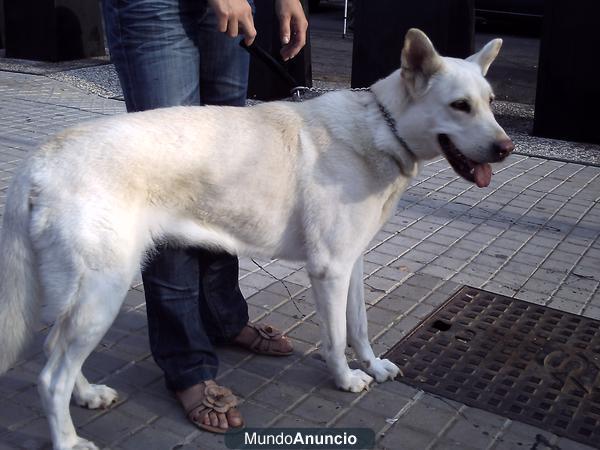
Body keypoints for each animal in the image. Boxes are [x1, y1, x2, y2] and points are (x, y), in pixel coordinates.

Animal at [0, 29, 510, 448]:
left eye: (490, 103)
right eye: (459, 106)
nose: (506, 148)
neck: (381, 128)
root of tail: (38, 159)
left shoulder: (353, 264)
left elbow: (360, 327)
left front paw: (373, 366)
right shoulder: (330, 270)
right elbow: (335, 337)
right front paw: (345, 379)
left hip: (85, 299)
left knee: (55, 352)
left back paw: (87, 395)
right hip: (103, 290)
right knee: (50, 377)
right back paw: (68, 441)